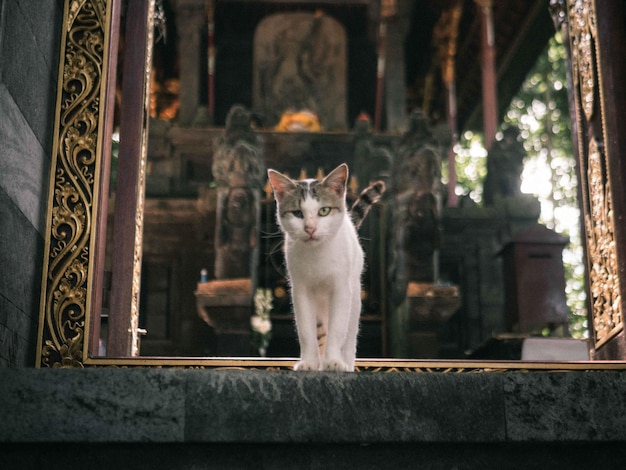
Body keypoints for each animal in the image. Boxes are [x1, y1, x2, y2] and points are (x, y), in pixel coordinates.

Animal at [266, 163, 382, 372]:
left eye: (324, 211)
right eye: (297, 213)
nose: (310, 228)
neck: (317, 255)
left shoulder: (342, 288)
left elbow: (338, 329)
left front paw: (334, 361)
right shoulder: (300, 289)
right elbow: (306, 330)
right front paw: (309, 362)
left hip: (355, 297)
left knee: (349, 333)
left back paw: (345, 362)